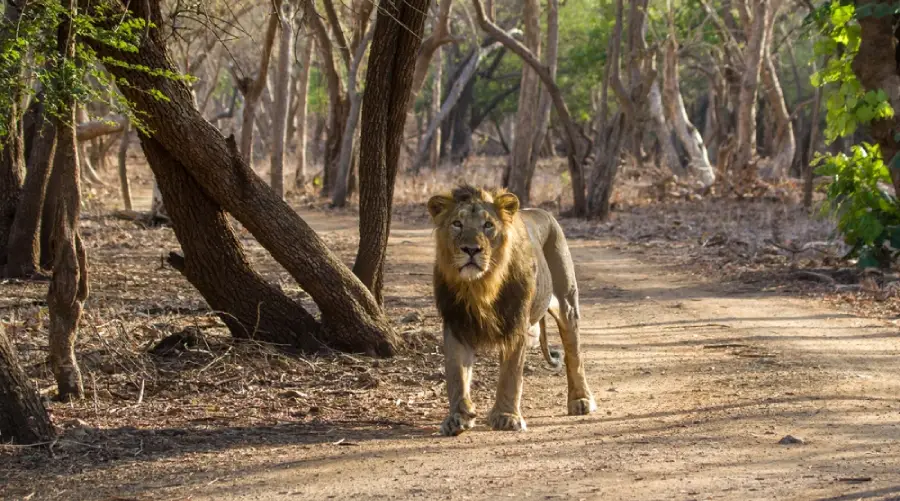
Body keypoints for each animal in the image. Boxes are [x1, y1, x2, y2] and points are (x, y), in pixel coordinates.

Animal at [427, 185, 596, 436]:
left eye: (488, 225)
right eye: (457, 223)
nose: (471, 249)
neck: (480, 286)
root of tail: (540, 211)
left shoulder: (516, 321)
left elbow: (511, 374)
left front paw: (506, 417)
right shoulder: (456, 321)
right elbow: (456, 372)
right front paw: (458, 415)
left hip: (567, 302)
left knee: (574, 352)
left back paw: (581, 400)